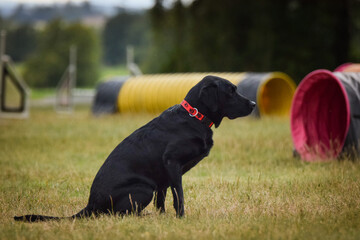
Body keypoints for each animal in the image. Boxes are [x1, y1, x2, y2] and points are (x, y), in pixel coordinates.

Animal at [14, 75, 256, 221]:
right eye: (231, 91)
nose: (254, 104)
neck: (193, 116)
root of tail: (90, 205)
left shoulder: (162, 178)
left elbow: (163, 200)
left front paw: (163, 218)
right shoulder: (172, 163)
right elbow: (179, 196)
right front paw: (181, 218)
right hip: (142, 188)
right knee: (119, 214)